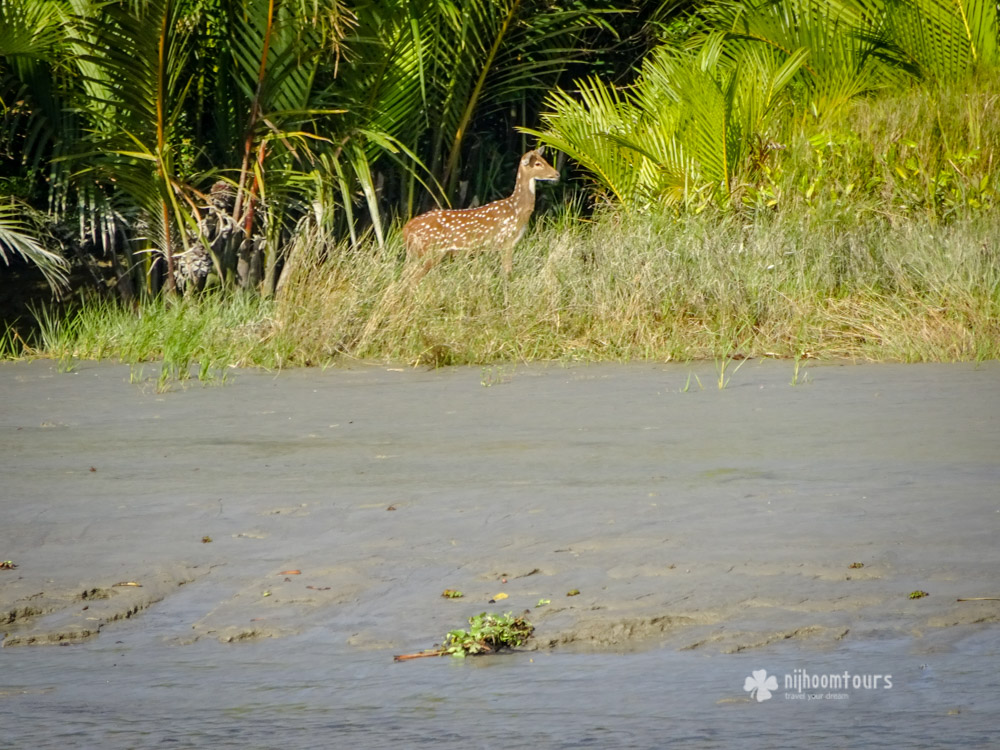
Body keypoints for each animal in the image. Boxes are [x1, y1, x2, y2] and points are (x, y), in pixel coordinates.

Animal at [400, 150, 560, 282]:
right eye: (538, 163)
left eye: (544, 159)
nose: (557, 174)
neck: (516, 210)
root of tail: (406, 228)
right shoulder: (505, 240)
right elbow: (508, 273)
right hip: (429, 250)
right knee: (411, 278)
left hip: (417, 252)